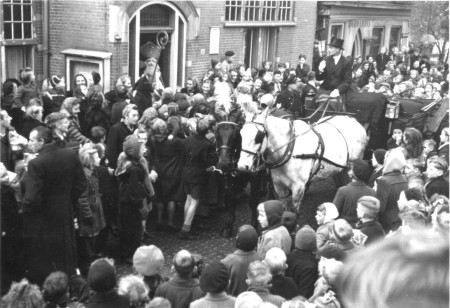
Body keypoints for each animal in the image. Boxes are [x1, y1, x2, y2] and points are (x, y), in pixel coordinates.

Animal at [237, 107, 368, 212]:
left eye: (258, 136)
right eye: (241, 133)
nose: (242, 166)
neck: (289, 151)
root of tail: (352, 119)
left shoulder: (298, 188)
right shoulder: (279, 187)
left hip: (354, 164)